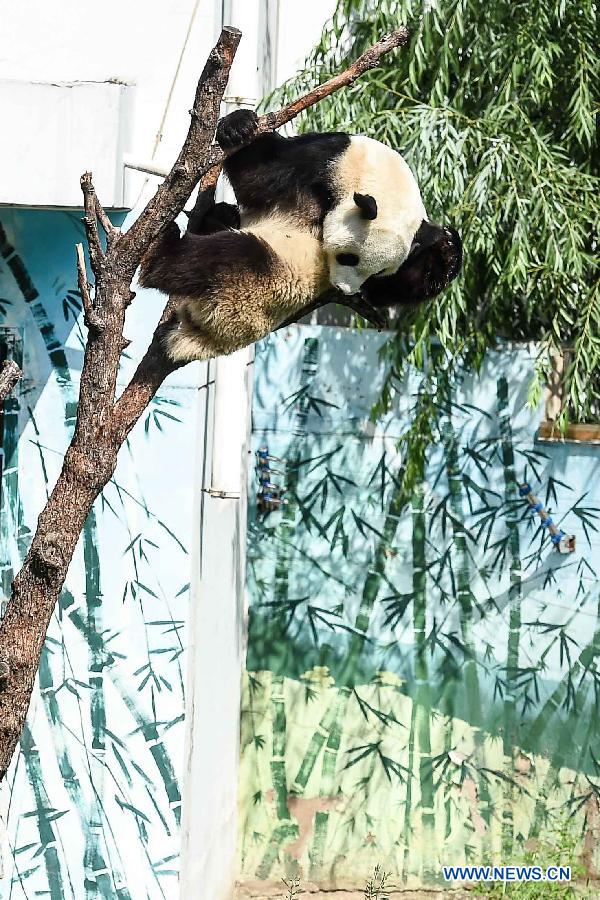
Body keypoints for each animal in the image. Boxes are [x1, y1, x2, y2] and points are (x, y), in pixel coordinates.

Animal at [138, 110, 462, 364]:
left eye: (376, 271)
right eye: (349, 258)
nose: (344, 290)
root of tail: (198, 337)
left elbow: (260, 175)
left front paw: (447, 251)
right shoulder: (330, 159)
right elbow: (264, 170)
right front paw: (239, 125)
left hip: (247, 289)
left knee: (220, 257)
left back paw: (160, 249)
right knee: (223, 226)